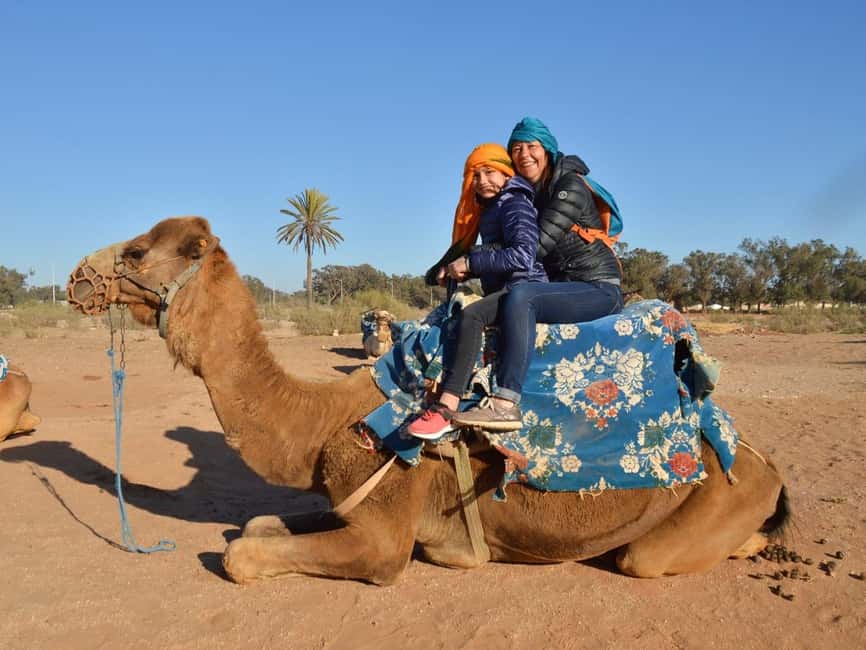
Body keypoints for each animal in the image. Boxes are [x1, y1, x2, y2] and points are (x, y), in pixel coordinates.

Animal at [66, 217, 788, 585]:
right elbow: (258, 526)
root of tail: (759, 458)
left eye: (137, 249)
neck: (324, 421)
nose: (76, 278)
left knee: (649, 558)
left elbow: (243, 553)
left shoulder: (386, 528)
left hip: (703, 510)